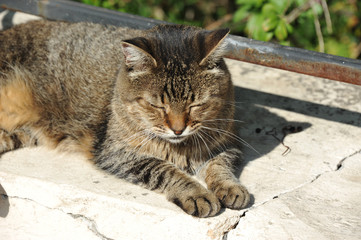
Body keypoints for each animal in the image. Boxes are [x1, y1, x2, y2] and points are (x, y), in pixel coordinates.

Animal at [0, 19, 249, 217]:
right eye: (157, 105)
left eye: (195, 105)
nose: (178, 129)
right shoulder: (116, 153)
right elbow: (164, 169)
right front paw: (196, 193)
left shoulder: (228, 142)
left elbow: (220, 165)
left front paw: (230, 187)